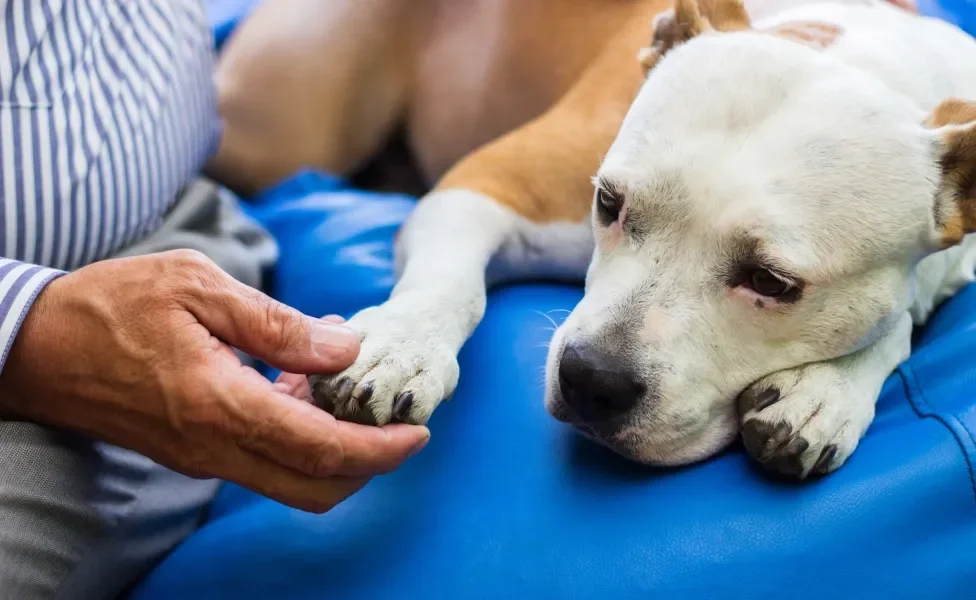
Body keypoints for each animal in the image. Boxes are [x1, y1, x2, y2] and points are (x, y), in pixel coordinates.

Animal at [210, 0, 976, 478]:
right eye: (608, 202)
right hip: (284, 133)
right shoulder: (486, 183)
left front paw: (828, 393)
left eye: (772, 282)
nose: (591, 380)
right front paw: (399, 347)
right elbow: (450, 284)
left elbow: (901, 320)